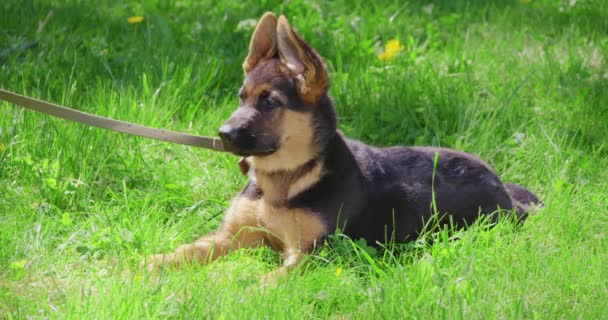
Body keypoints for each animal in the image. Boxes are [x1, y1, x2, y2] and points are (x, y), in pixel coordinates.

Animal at [148, 13, 540, 282]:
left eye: (270, 102)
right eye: (241, 97)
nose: (224, 133)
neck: (285, 179)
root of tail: (505, 191)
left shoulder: (311, 253)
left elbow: (268, 278)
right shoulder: (231, 236)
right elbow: (187, 251)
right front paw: (150, 264)